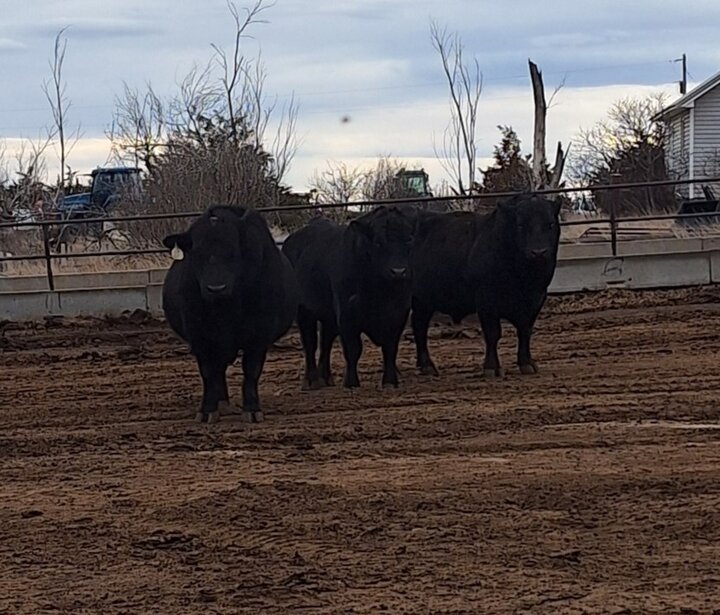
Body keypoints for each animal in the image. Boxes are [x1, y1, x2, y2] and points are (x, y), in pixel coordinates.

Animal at [162, 205, 298, 424]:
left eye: (233, 252)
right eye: (196, 253)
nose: (216, 288)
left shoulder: (258, 337)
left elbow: (251, 371)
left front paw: (252, 409)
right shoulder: (200, 338)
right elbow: (208, 373)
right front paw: (207, 410)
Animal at [282, 205, 417, 389]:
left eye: (409, 239)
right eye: (378, 242)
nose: (398, 271)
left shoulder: (399, 313)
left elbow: (390, 347)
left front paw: (390, 381)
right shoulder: (347, 312)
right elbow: (353, 349)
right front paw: (351, 382)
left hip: (329, 316)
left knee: (326, 342)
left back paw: (326, 377)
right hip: (303, 311)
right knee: (310, 343)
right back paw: (312, 381)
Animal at [411, 193, 561, 377]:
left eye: (550, 224)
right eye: (520, 225)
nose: (538, 252)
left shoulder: (536, 300)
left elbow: (525, 331)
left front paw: (527, 363)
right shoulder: (486, 301)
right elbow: (493, 334)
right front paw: (492, 367)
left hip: (424, 301)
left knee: (419, 325)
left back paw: (425, 365)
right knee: (419, 326)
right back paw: (427, 365)